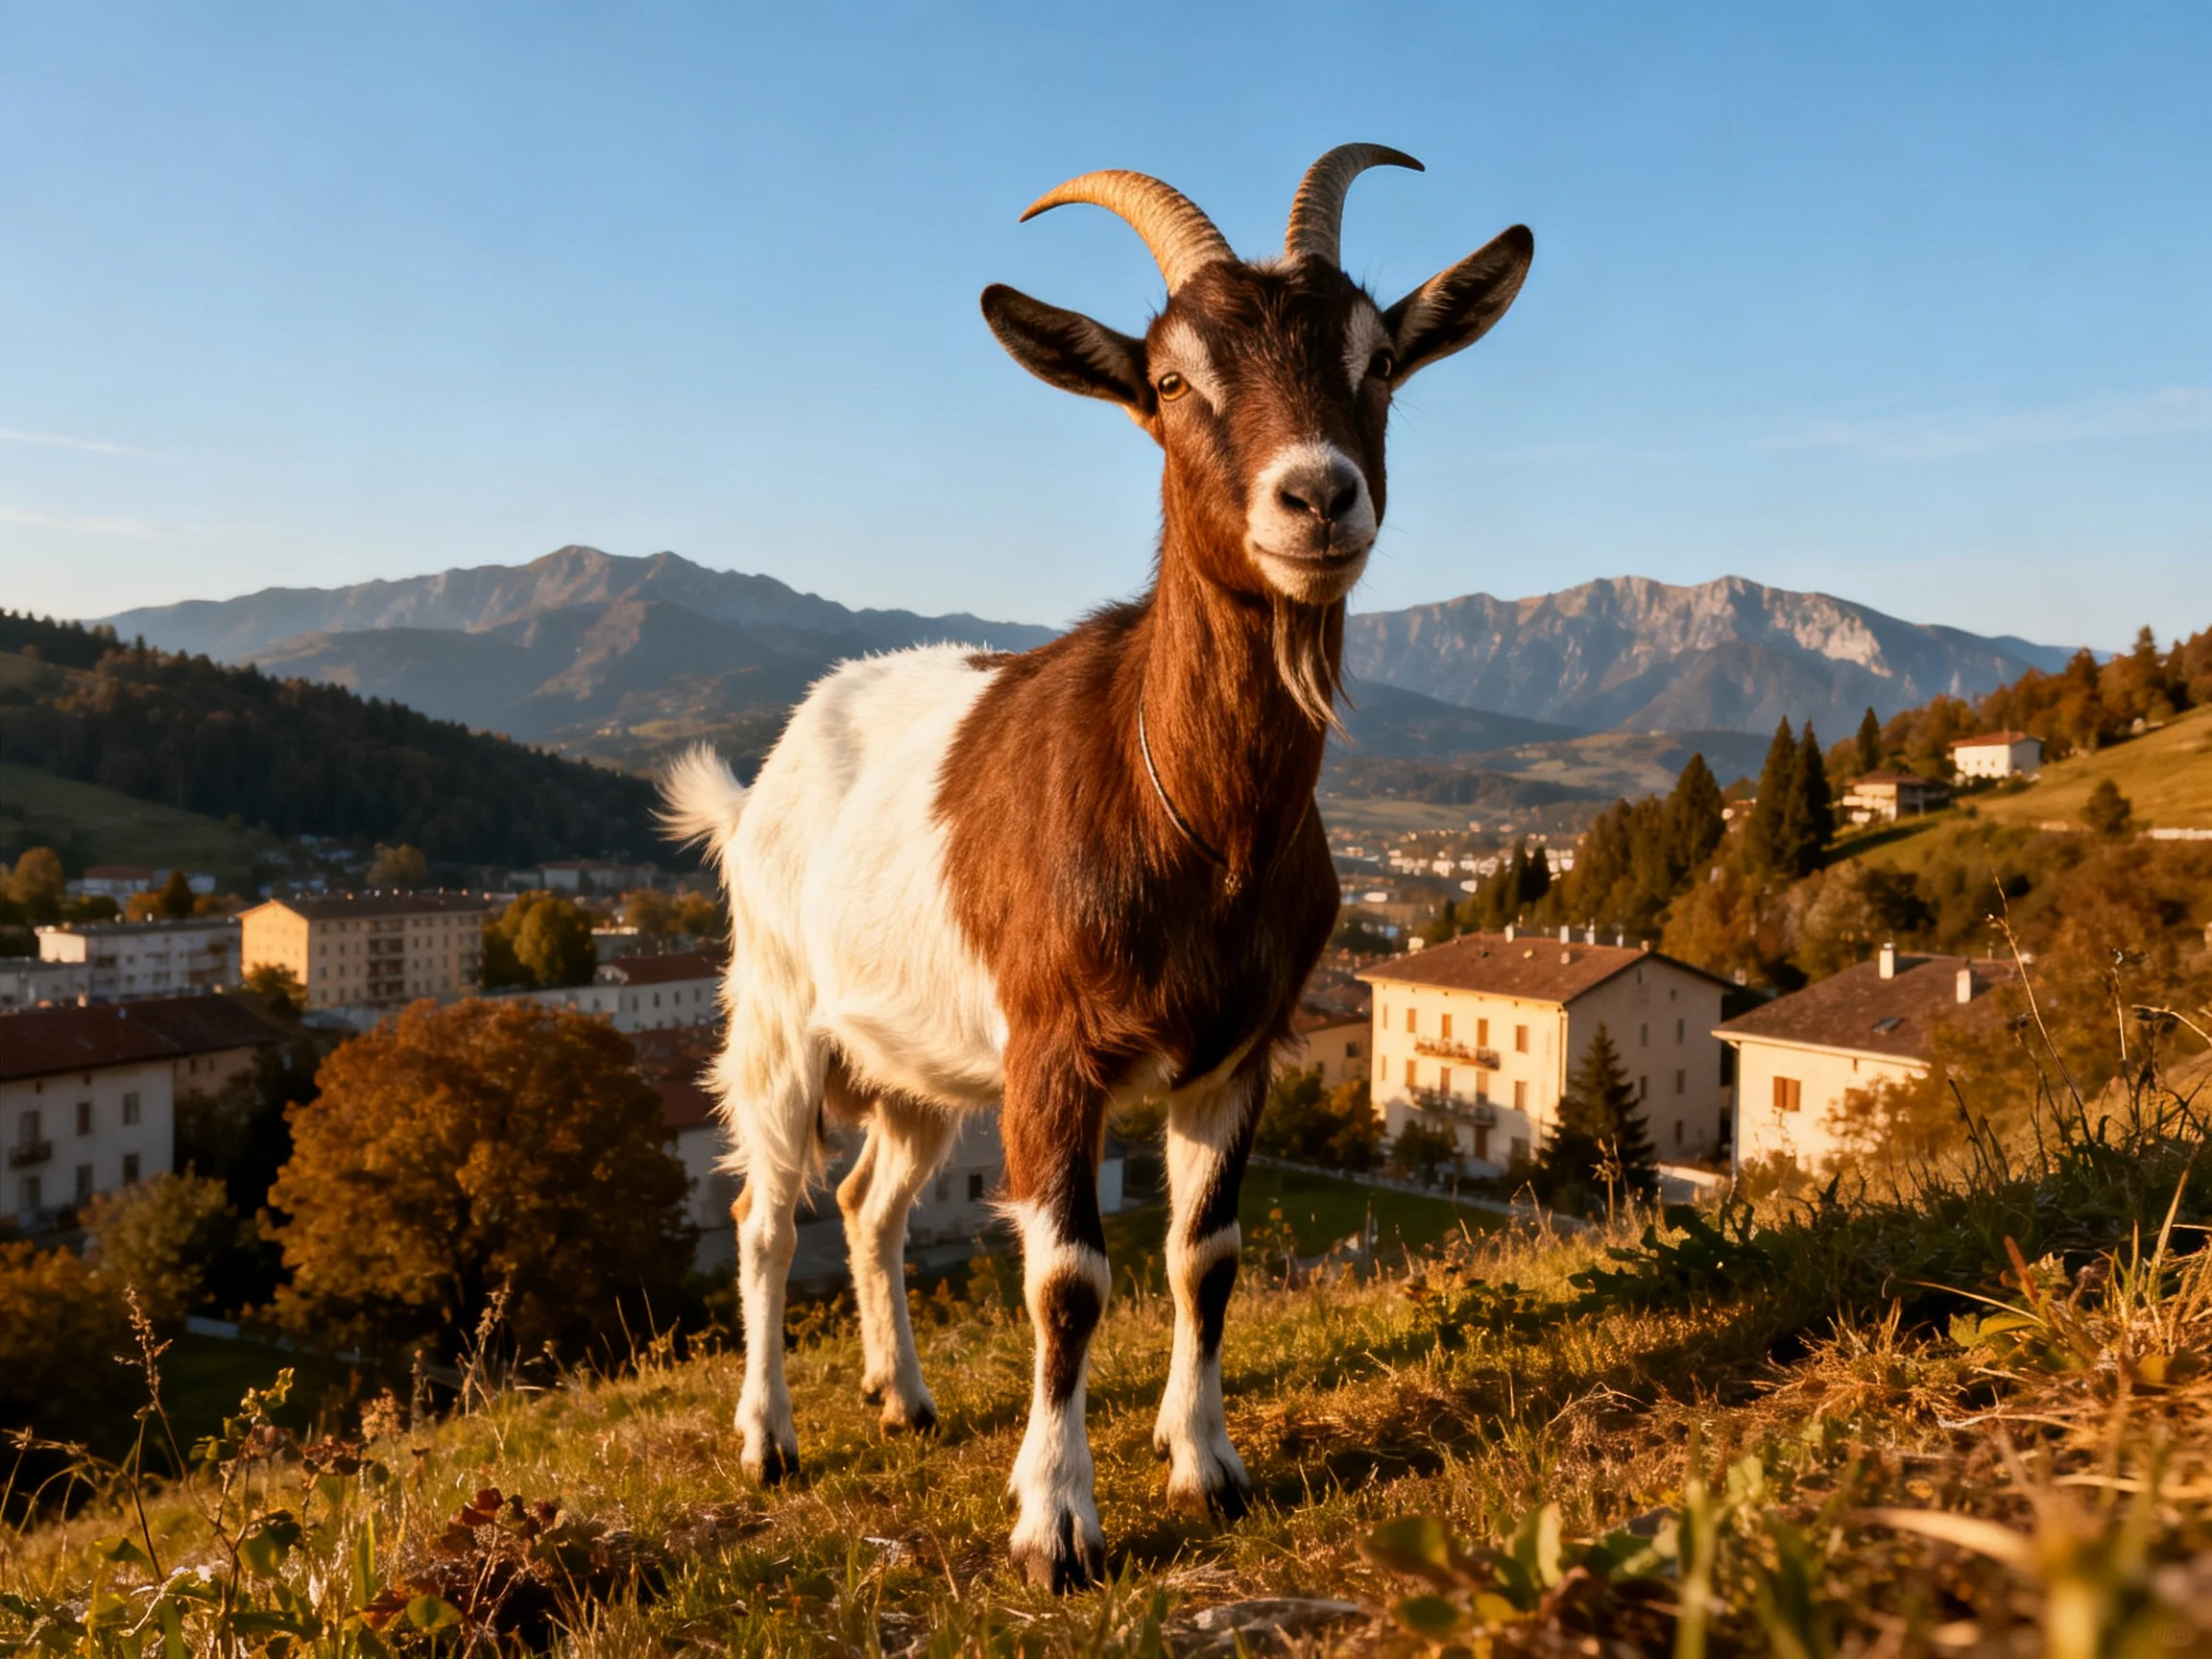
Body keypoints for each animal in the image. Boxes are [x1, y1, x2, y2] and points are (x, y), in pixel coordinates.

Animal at [662, 145, 1531, 1591]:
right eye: (1172, 382)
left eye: (1377, 361)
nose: (1318, 496)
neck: (1199, 827)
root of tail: (769, 770)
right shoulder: (1055, 1052)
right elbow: (1067, 1275)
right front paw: (1056, 1521)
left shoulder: (1238, 1051)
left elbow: (1205, 1253)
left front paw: (1206, 1462)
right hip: (779, 1013)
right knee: (768, 1216)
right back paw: (768, 1437)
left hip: (923, 1059)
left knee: (871, 1205)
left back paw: (902, 1396)